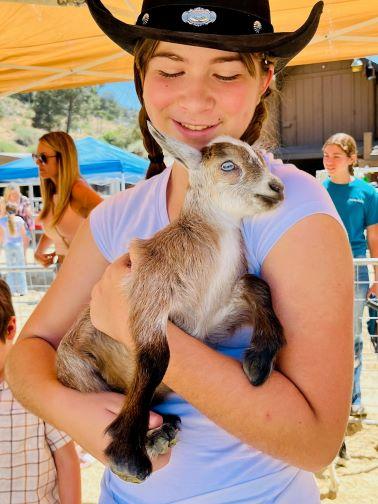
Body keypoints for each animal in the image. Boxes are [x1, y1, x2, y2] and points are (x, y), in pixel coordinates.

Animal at [56, 124, 284, 482]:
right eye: (228, 166)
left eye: (261, 158)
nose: (277, 187)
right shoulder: (149, 294)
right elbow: (156, 358)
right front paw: (127, 456)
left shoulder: (207, 324)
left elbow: (255, 284)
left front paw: (260, 360)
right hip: (76, 368)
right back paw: (153, 437)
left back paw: (164, 430)